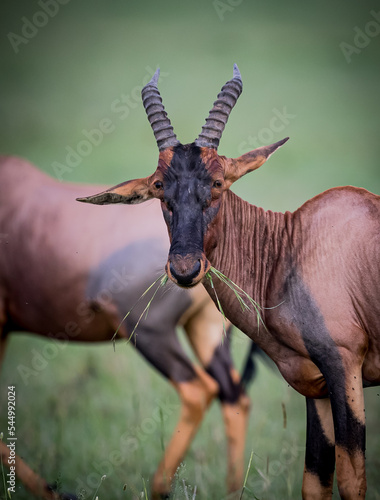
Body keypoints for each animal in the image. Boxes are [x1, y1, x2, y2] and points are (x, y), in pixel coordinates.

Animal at [78, 65, 380, 496]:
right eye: (159, 189)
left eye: (218, 184)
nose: (185, 268)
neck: (293, 244)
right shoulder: (315, 387)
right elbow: (314, 482)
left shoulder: (345, 369)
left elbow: (352, 480)